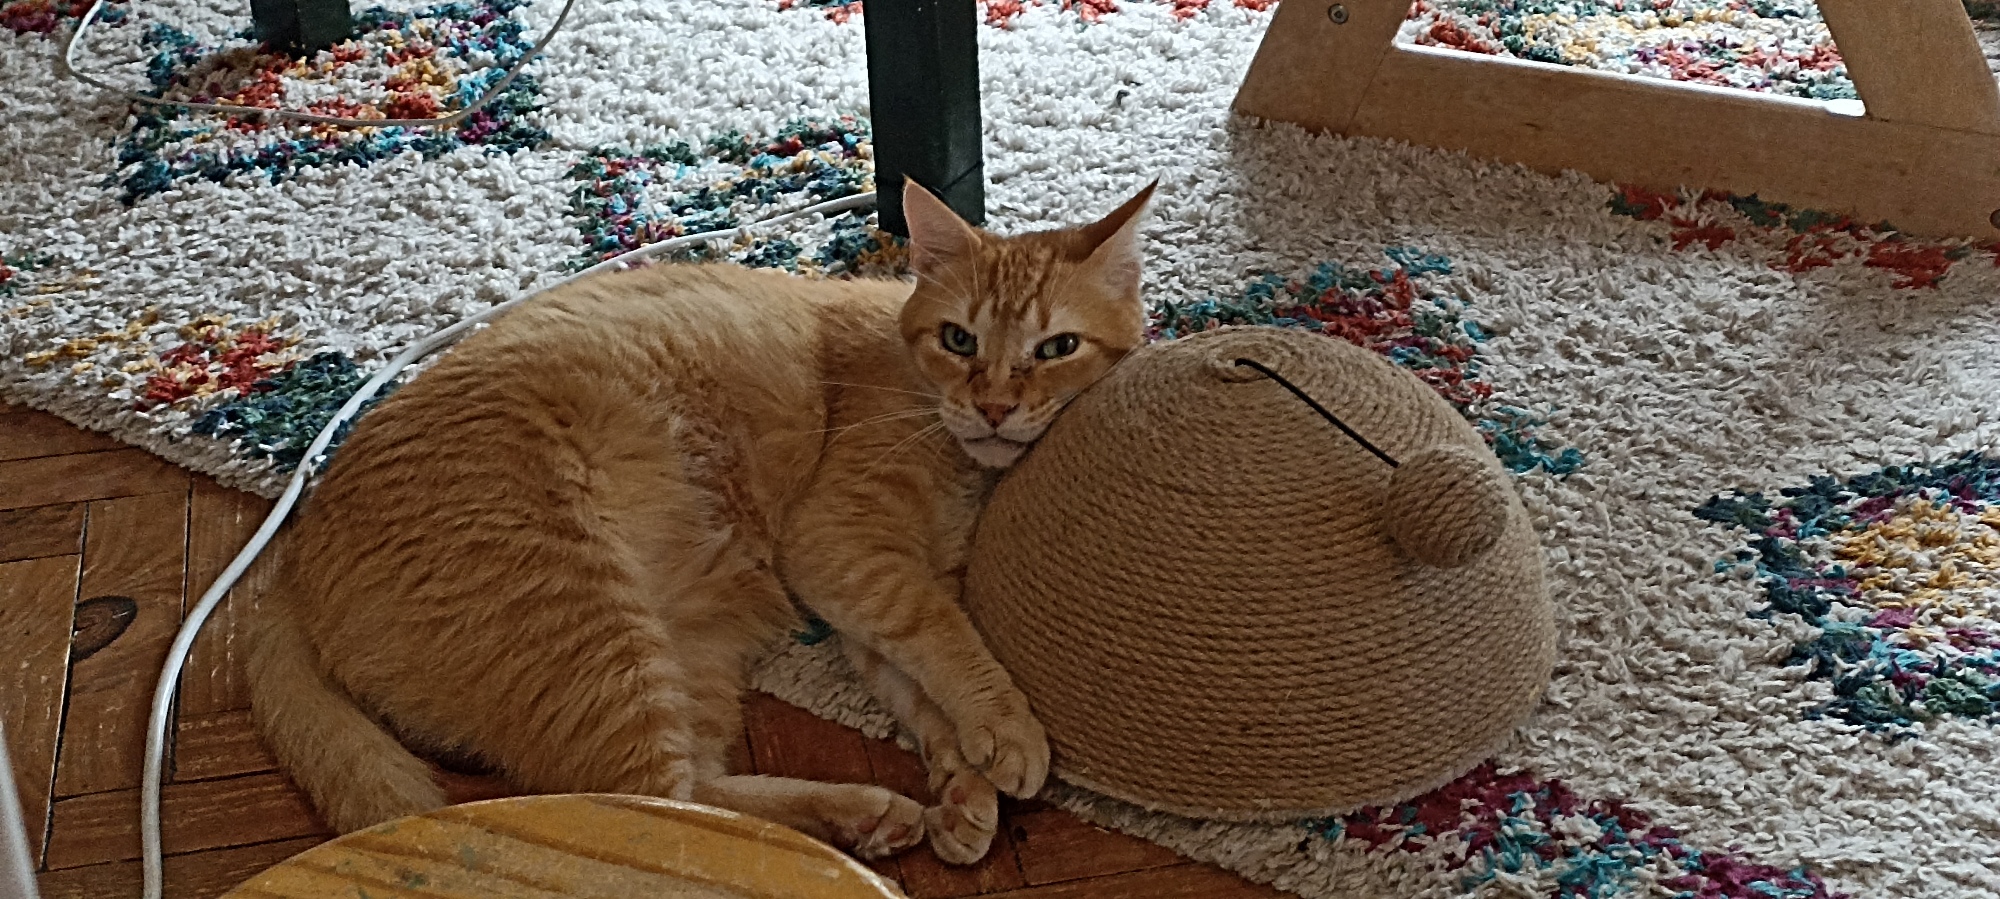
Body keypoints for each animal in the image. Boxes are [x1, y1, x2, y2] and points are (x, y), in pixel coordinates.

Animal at [245, 178, 1156, 865]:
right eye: (960, 339)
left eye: (1055, 348)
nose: (995, 405)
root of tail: (293, 549)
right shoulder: (844, 550)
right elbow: (952, 641)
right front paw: (1007, 729)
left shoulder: (861, 604)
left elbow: (922, 687)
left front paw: (963, 785)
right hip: (594, 621)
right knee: (647, 806)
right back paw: (847, 820)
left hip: (692, 642)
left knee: (693, 797)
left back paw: (862, 815)